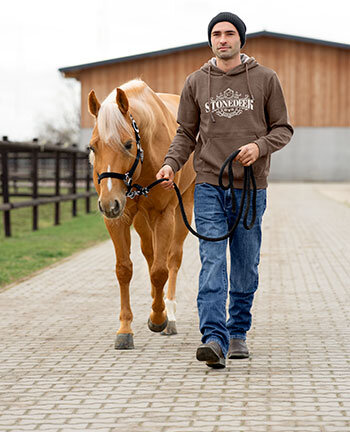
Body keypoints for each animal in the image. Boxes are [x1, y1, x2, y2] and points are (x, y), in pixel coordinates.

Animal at [87, 79, 196, 350]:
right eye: (92, 146)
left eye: (128, 144)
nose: (108, 203)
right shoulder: (120, 218)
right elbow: (124, 269)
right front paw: (125, 330)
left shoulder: (164, 214)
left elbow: (160, 271)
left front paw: (158, 319)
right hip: (140, 219)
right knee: (150, 254)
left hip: (183, 208)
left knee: (172, 259)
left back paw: (170, 315)